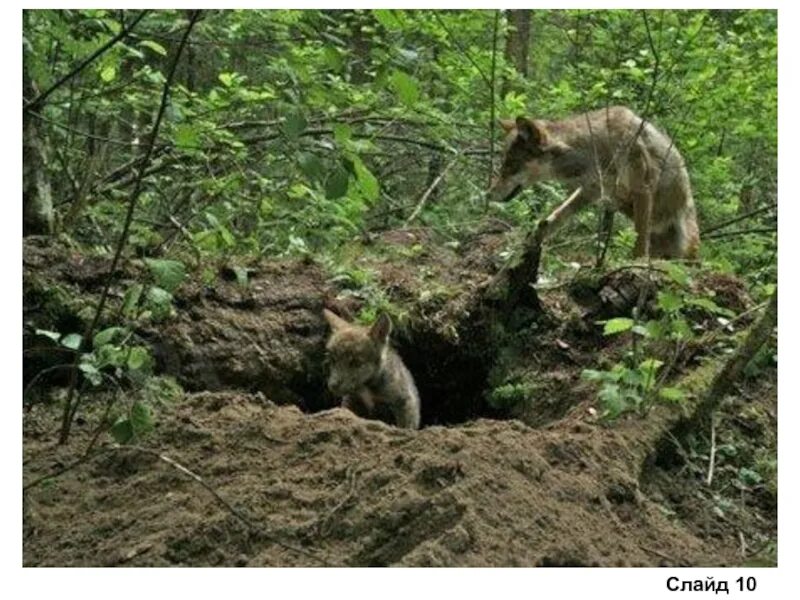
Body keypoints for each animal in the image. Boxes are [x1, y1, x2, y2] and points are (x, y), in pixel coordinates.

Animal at [488, 106, 700, 260]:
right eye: (503, 163)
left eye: (510, 165)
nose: (488, 194)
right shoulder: (590, 192)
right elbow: (552, 219)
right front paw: (529, 243)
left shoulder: (642, 189)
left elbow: (639, 243)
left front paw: (636, 265)